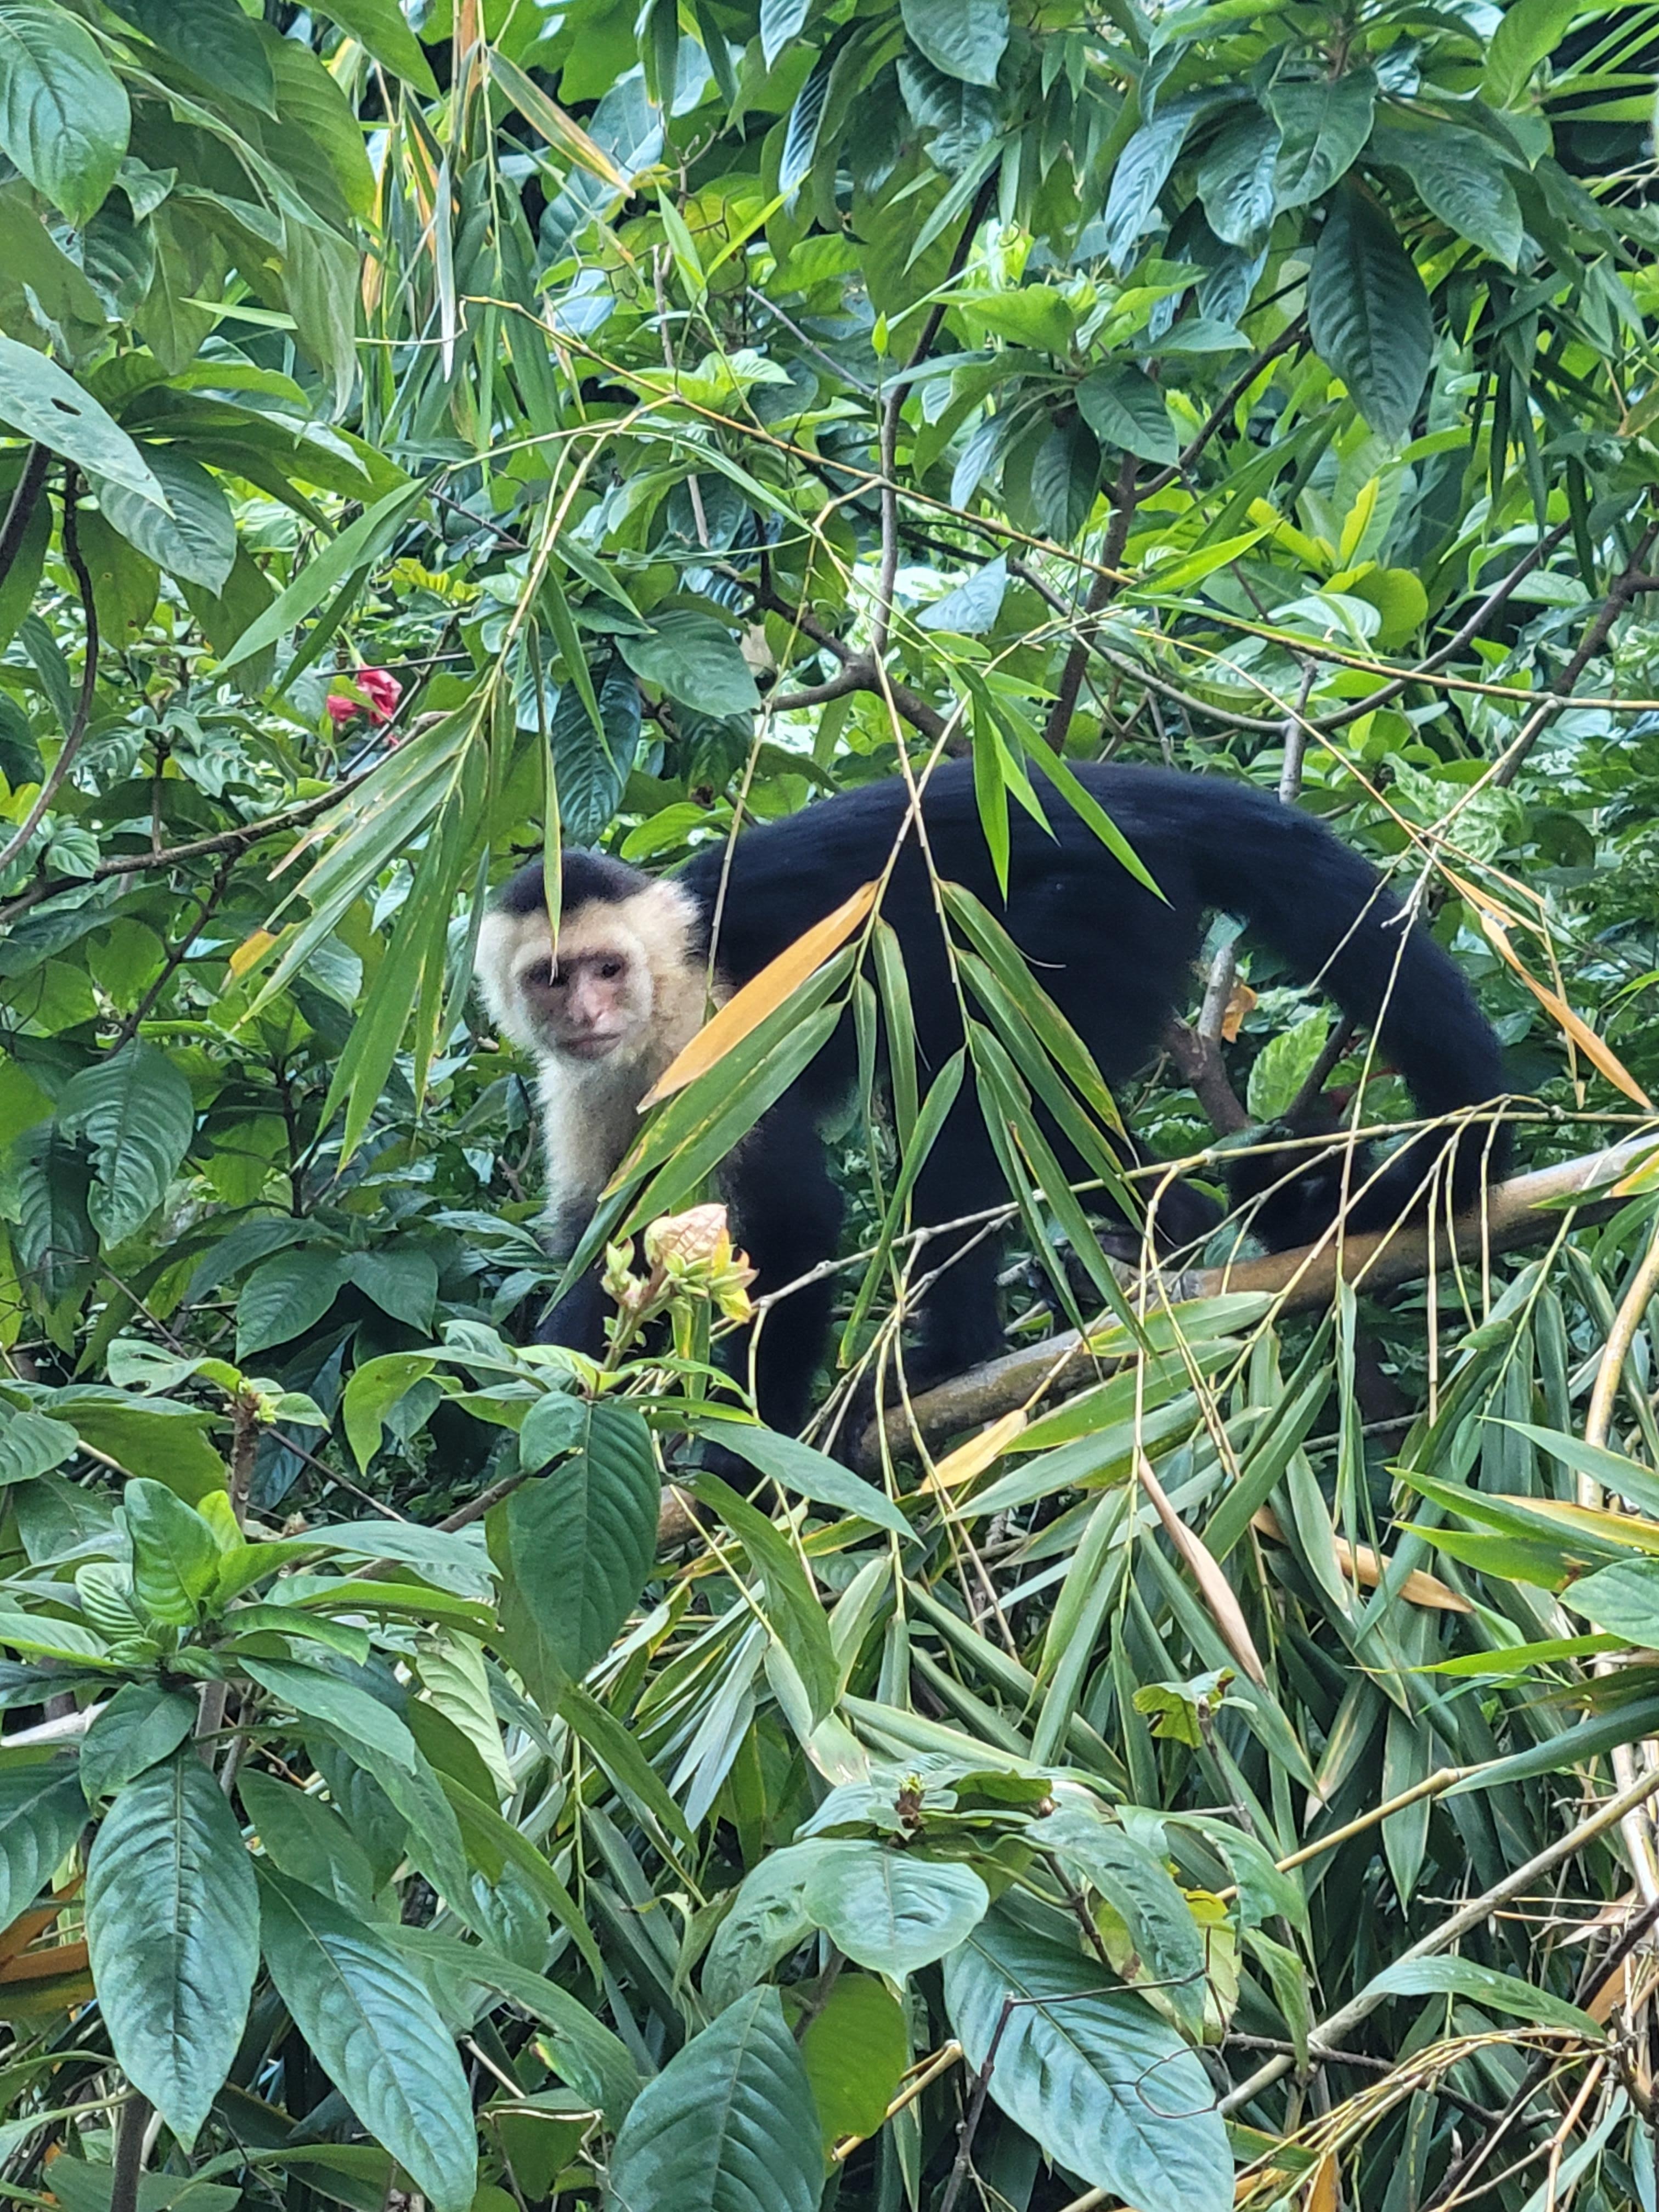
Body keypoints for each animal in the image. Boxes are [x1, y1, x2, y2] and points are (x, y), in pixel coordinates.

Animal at [475, 762, 1510, 1440]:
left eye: (608, 969)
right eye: (552, 979)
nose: (588, 1012)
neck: (656, 1005)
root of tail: (1118, 791)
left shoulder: (713, 1027)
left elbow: (796, 1217)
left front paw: (749, 1455)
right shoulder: (581, 1082)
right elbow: (604, 1240)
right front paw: (565, 1415)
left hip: (1093, 919)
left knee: (970, 1077)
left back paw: (953, 1357)